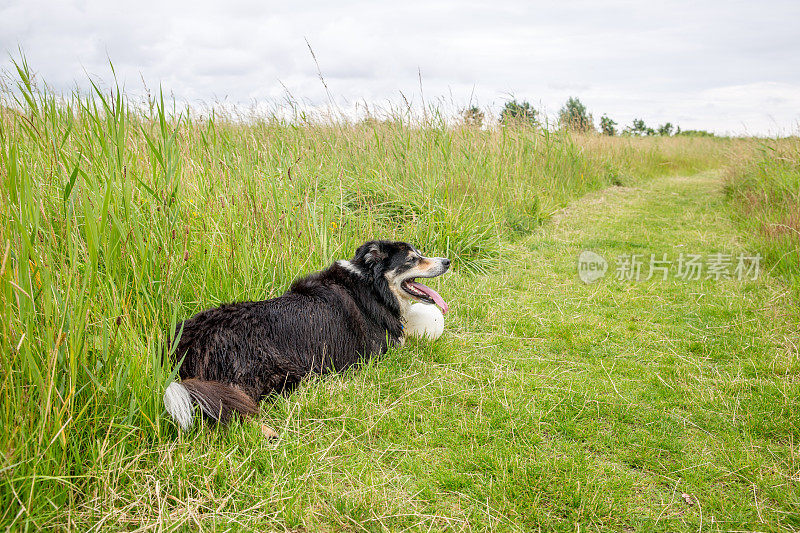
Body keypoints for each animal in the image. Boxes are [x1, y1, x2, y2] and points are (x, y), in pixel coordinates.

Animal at [162, 239, 450, 430]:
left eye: (421, 254)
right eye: (412, 259)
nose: (447, 262)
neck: (372, 285)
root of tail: (184, 346)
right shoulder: (381, 352)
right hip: (278, 373)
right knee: (236, 409)